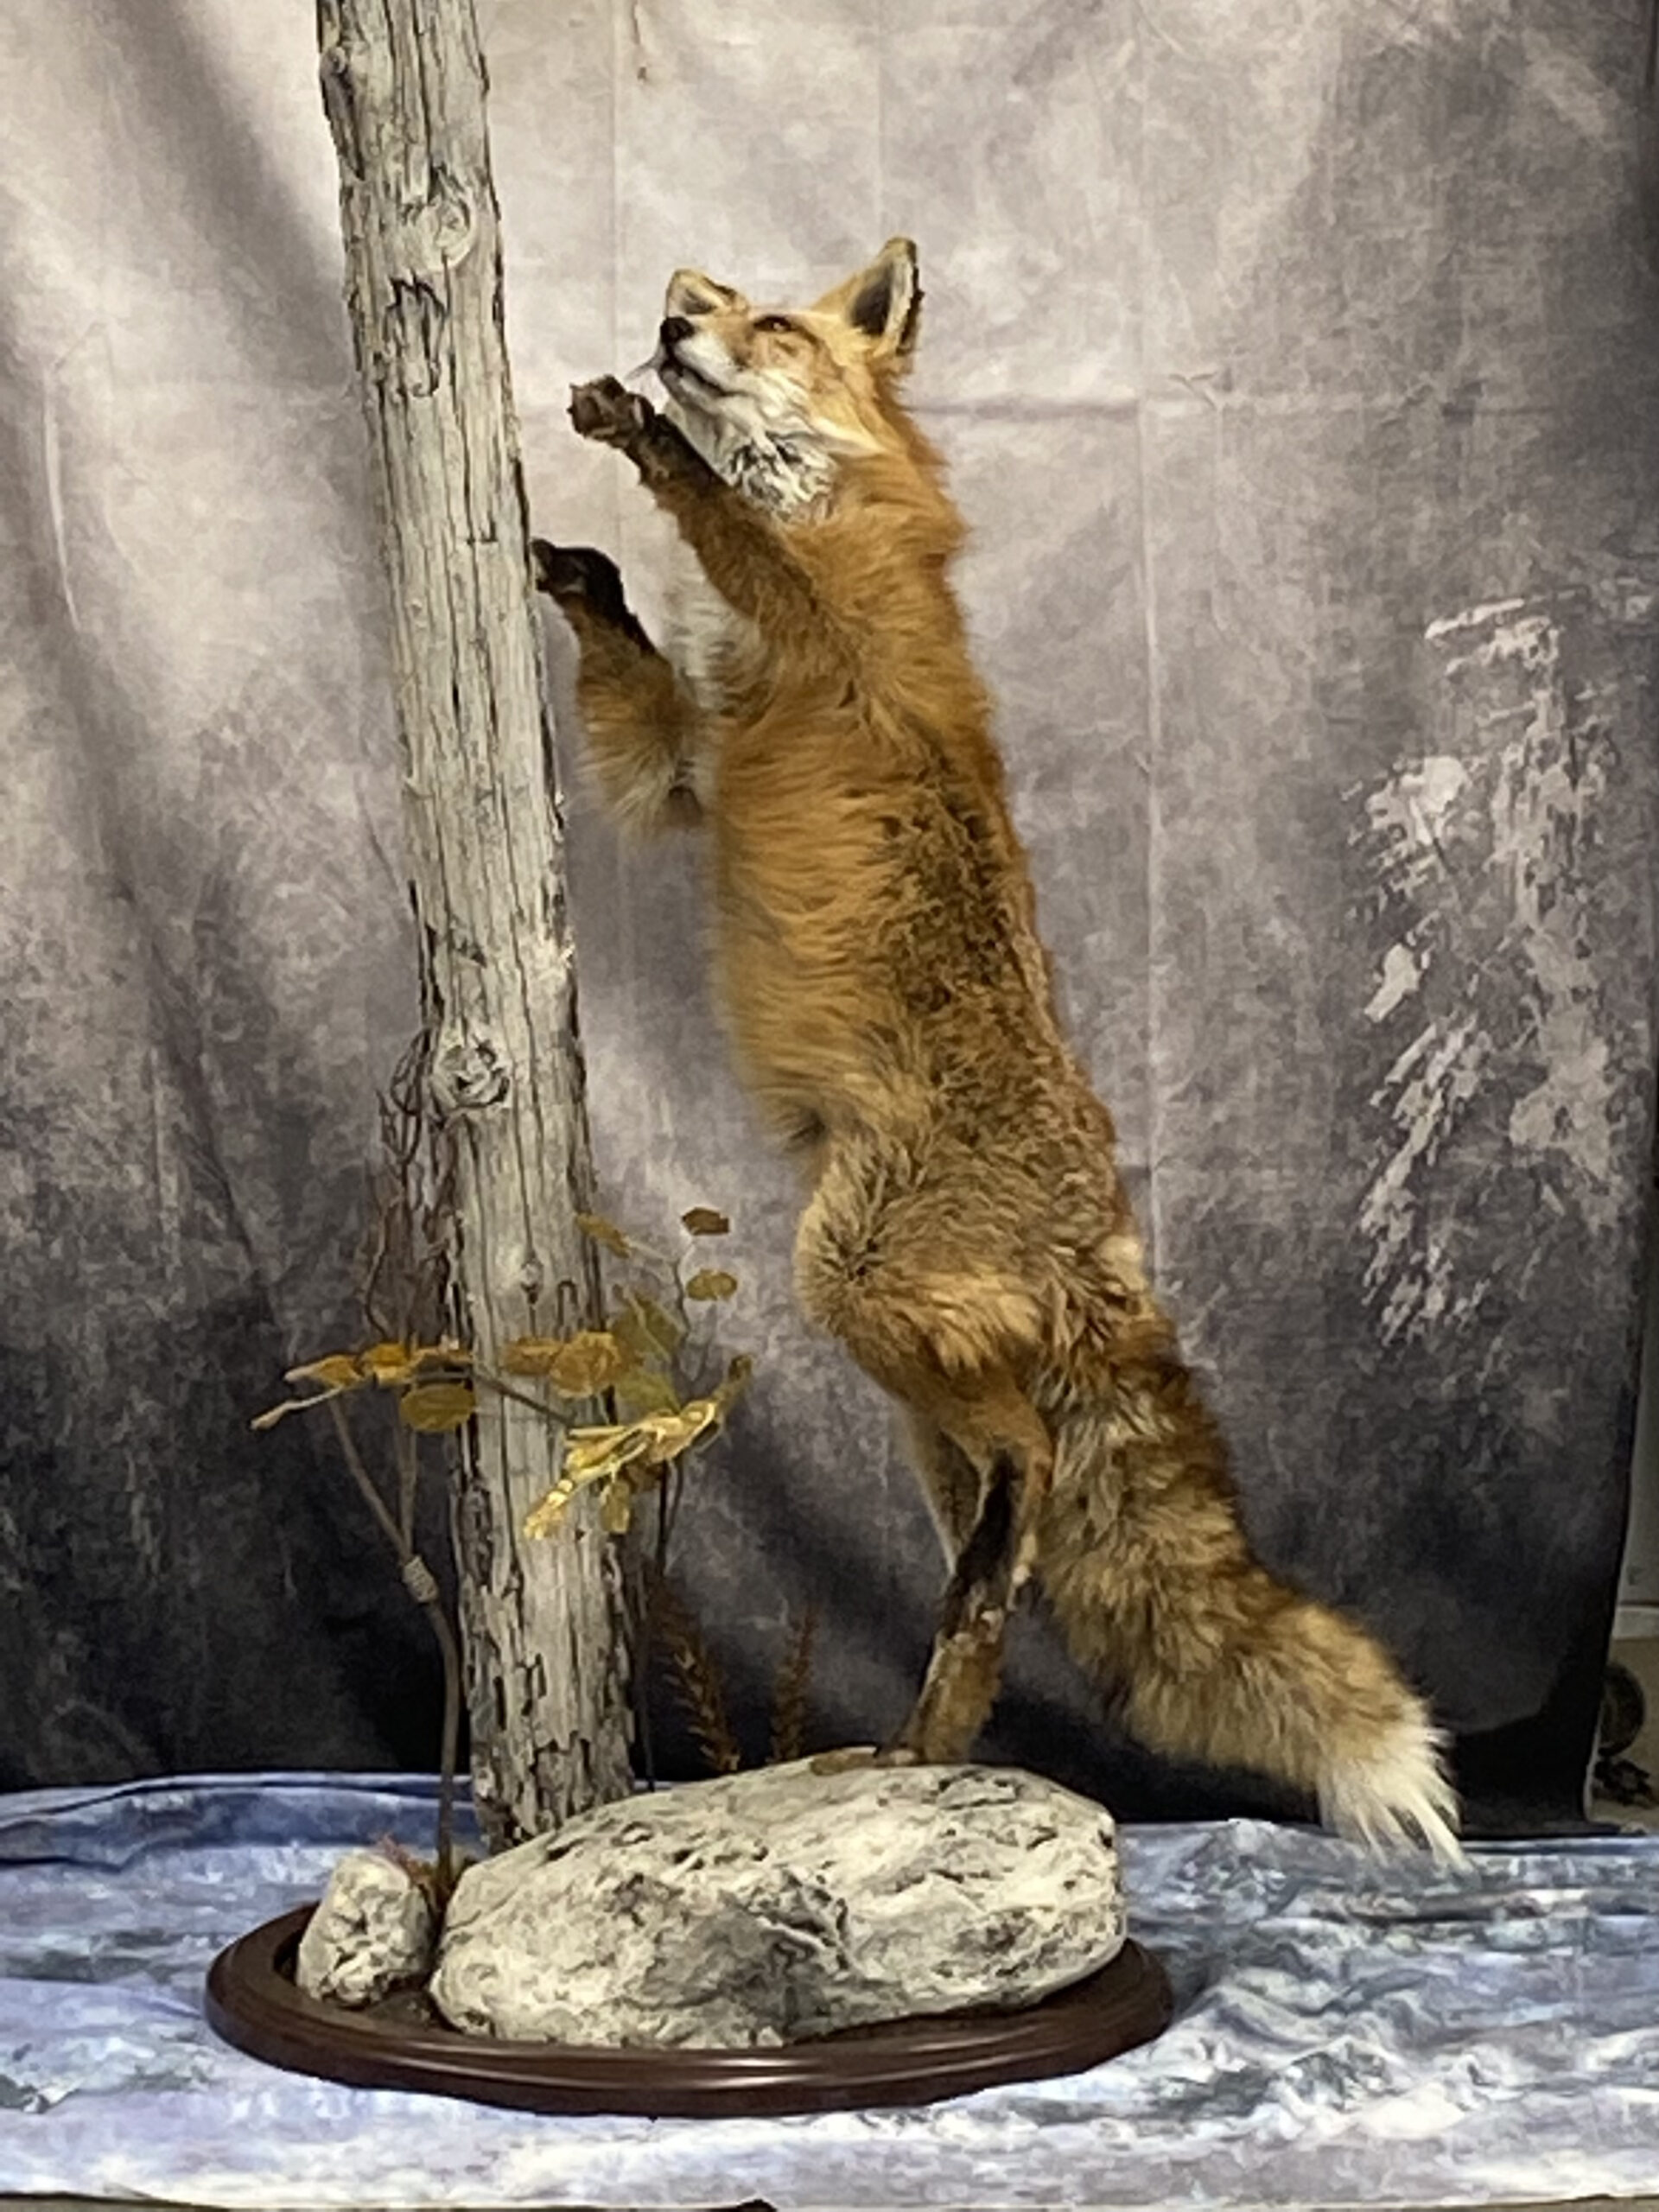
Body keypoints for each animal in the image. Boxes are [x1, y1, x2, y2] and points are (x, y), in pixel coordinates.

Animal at [532, 238, 1463, 1862]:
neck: (849, 519)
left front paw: (651, 447)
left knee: (1028, 1467)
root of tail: (1098, 1227)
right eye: (725, 307)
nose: (671, 317)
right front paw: (589, 575)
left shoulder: (814, 628)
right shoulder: (683, 763)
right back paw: (917, 1760)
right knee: (992, 1576)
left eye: (771, 326)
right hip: (916, 1411)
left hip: (853, 1287)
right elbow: (640, 681)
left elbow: (723, 527)